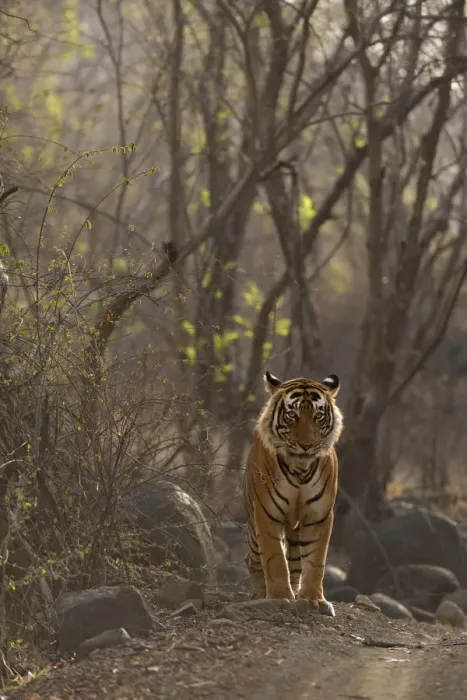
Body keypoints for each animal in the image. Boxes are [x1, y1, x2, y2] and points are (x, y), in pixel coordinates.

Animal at [243, 370, 343, 616]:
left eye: (318, 416)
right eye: (292, 415)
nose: (306, 445)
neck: (300, 468)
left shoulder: (319, 516)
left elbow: (315, 560)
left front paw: (313, 600)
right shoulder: (267, 514)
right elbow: (275, 558)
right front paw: (279, 597)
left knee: (296, 563)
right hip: (253, 529)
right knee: (253, 559)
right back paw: (261, 592)